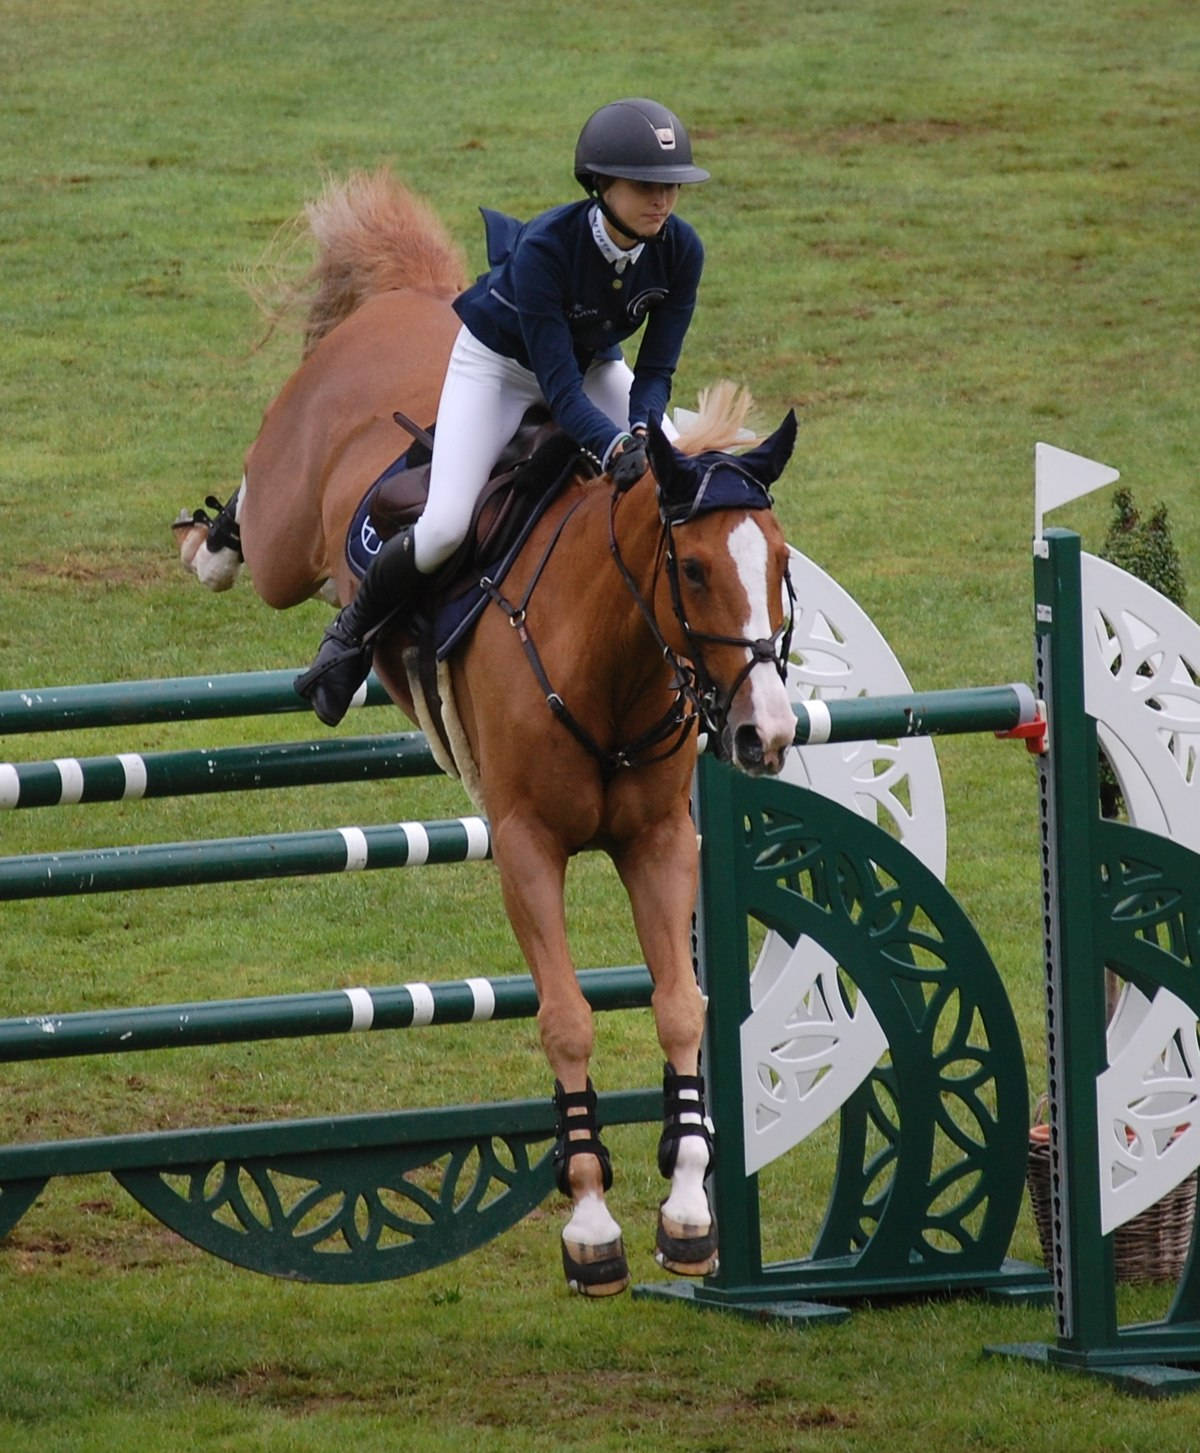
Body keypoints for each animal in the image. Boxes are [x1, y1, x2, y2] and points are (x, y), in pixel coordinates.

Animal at [174, 170, 798, 1296]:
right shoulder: (525, 846)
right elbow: (565, 1014)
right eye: (692, 570)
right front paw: (590, 1226)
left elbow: (681, 1005)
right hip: (294, 536)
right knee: (278, 526)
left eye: (779, 563)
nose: (763, 735)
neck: (611, 664)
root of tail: (408, 297)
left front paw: (690, 1212)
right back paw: (215, 544)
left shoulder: (659, 843)